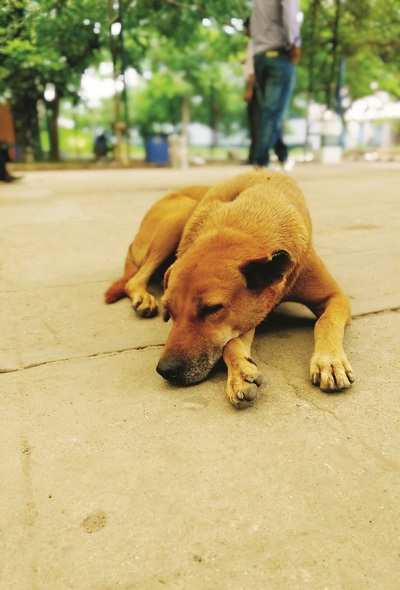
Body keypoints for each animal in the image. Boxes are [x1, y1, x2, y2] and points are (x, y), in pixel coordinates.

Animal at [105, 171, 354, 410]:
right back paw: (142, 297)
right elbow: (229, 343)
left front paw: (329, 361)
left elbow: (326, 322)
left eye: (212, 309)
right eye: (169, 310)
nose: (166, 370)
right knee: (133, 279)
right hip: (174, 221)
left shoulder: (334, 297)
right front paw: (240, 374)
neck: (244, 222)